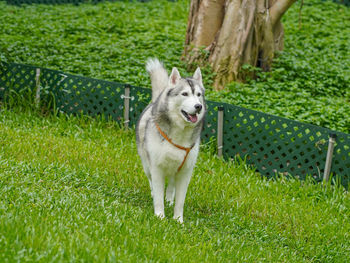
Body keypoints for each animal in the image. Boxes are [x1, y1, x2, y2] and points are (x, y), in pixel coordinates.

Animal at [135, 58, 205, 224]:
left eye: (198, 94)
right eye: (185, 94)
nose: (198, 106)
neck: (180, 133)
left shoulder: (185, 172)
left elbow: (180, 200)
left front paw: (178, 220)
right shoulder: (156, 168)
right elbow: (158, 194)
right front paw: (160, 216)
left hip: (176, 169)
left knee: (171, 185)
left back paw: (169, 199)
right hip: (147, 165)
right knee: (152, 181)